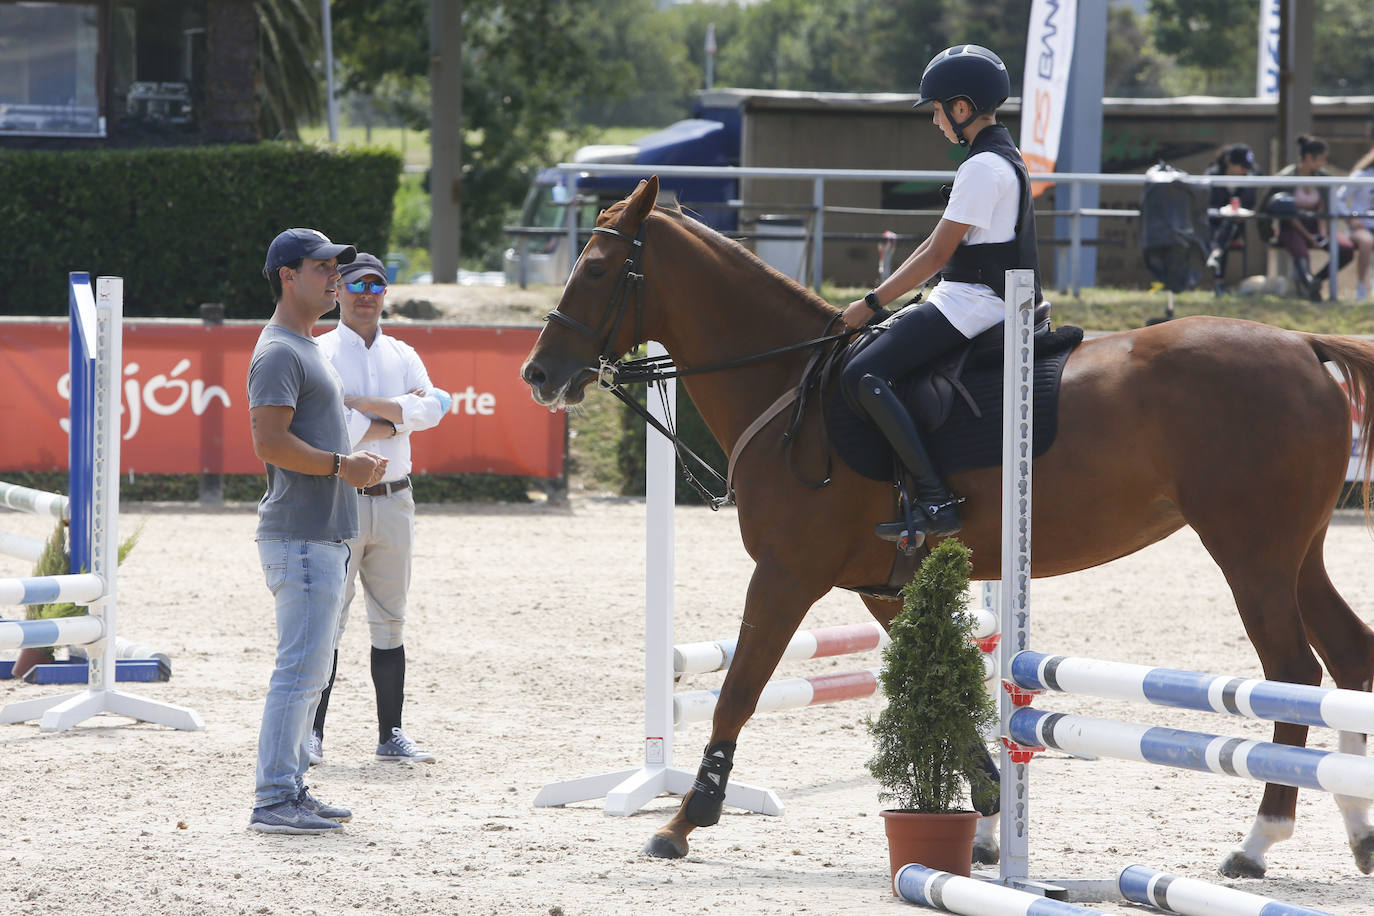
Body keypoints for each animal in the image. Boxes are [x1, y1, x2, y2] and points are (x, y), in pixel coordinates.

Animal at [519, 175, 1374, 878]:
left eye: (597, 270)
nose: (538, 374)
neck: (790, 383)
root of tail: (1302, 344)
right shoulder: (883, 588)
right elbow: (953, 696)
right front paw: (991, 822)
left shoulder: (788, 574)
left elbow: (739, 688)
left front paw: (685, 820)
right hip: (1296, 553)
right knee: (1349, 659)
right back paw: (1357, 831)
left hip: (1250, 552)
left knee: (1293, 672)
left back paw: (1259, 840)